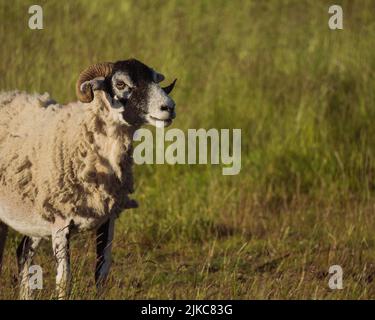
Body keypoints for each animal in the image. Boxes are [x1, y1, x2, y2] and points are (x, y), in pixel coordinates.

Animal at [0, 58, 178, 300]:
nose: (168, 107)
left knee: (23, 252)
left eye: (153, 80)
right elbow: (64, 280)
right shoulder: (61, 221)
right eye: (121, 84)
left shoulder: (107, 219)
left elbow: (101, 273)